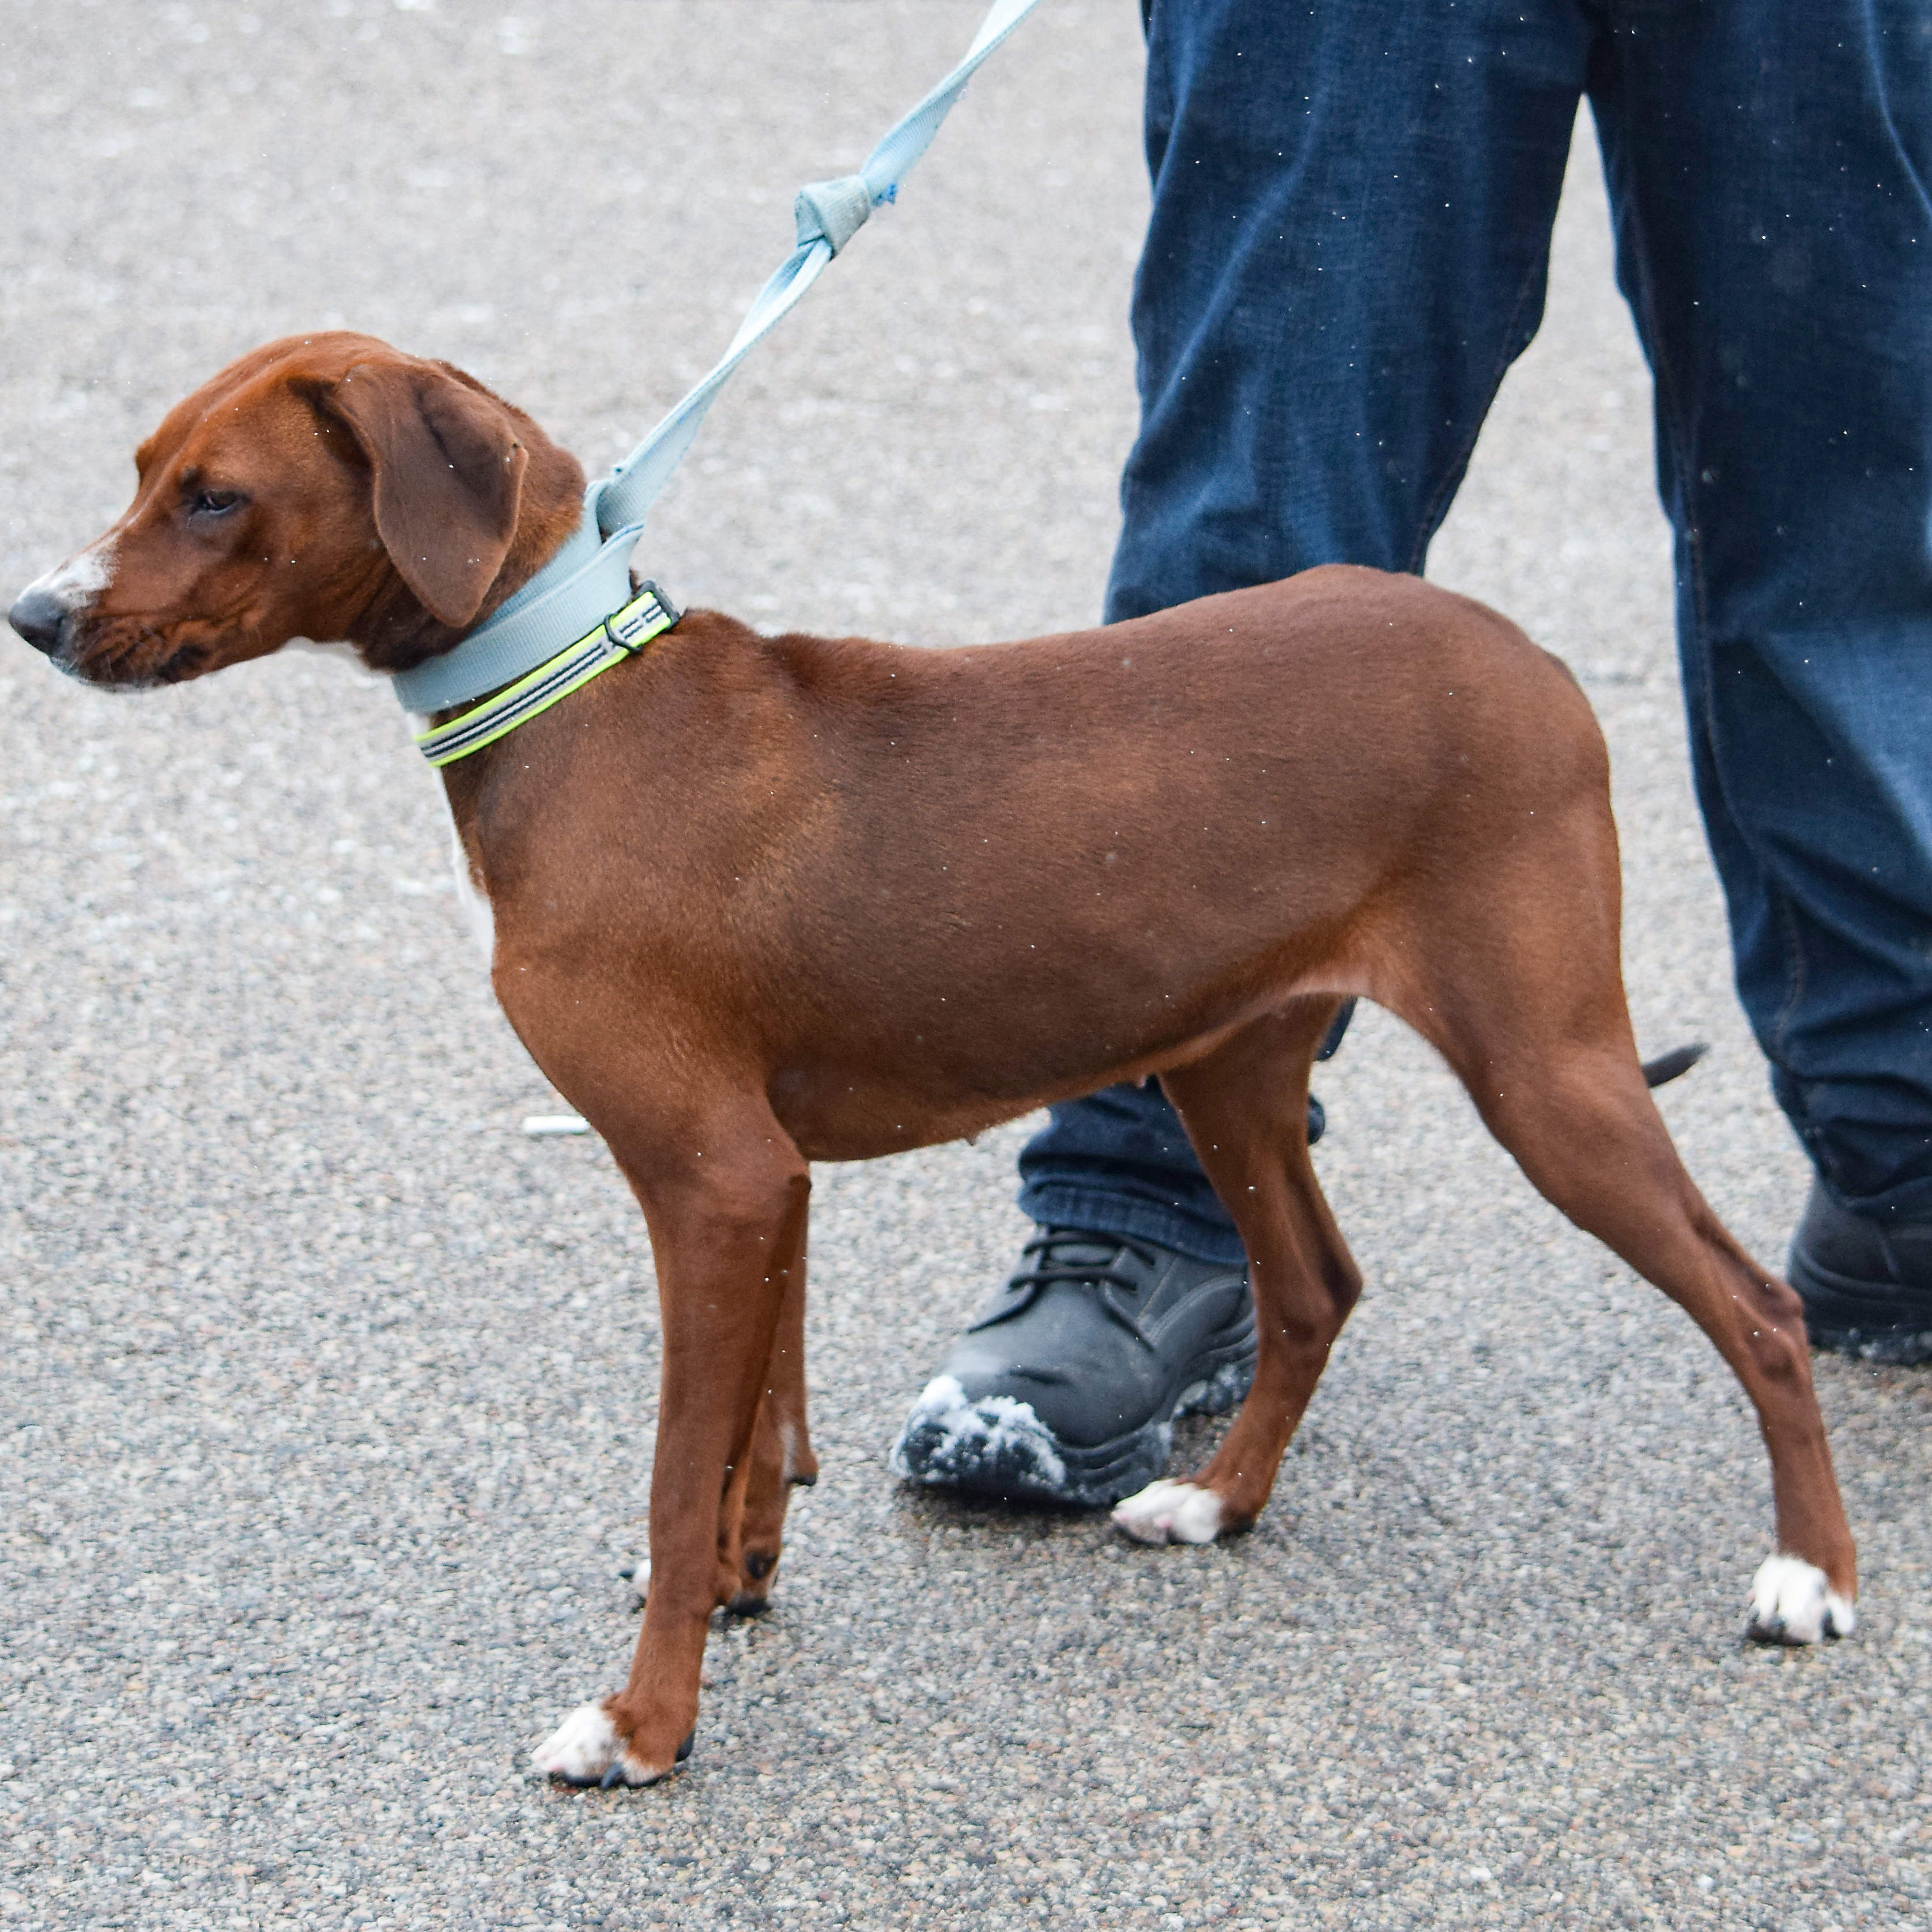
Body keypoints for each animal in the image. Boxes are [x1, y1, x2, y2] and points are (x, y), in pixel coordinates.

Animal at [11, 328, 1854, 1777]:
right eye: (145, 471)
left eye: (215, 497)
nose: (33, 615)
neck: (576, 709)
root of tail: (1533, 656)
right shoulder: (767, 1184)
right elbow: (754, 1434)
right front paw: (739, 1591)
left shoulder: (709, 1178)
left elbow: (675, 1468)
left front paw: (644, 1728)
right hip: (1227, 1065)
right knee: (1315, 1285)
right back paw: (1214, 1501)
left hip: (1545, 1069)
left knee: (1759, 1308)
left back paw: (1811, 1579)